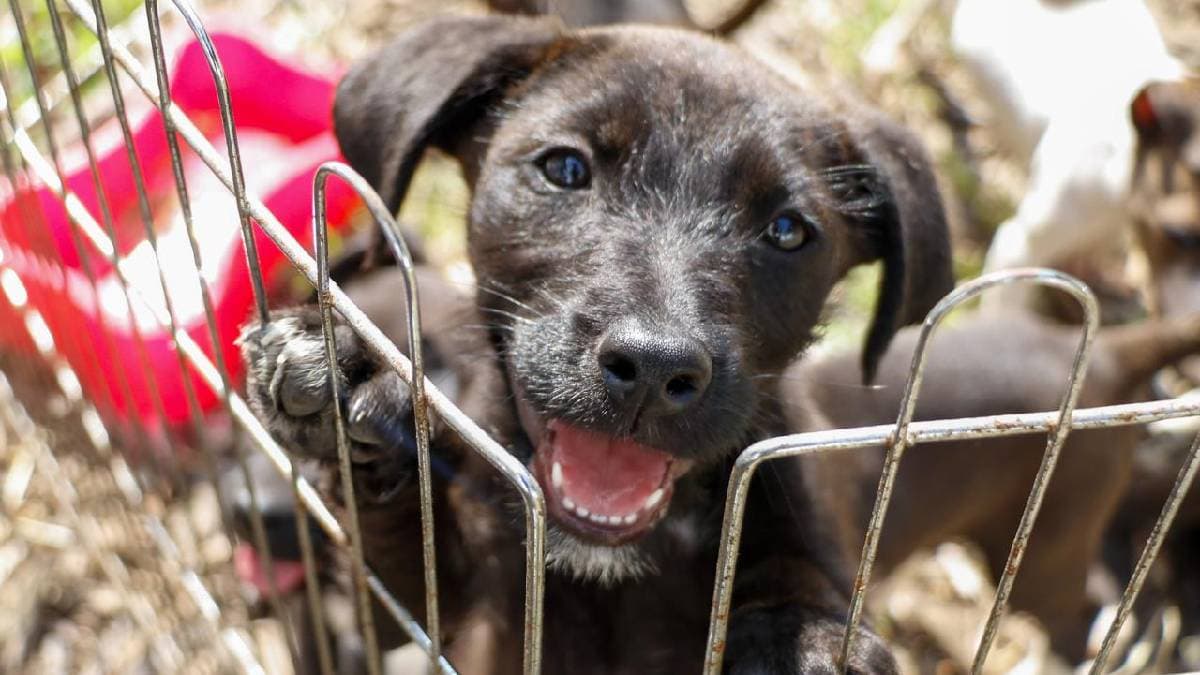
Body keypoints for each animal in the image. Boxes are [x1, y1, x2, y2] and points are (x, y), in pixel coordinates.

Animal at [243, 17, 950, 672]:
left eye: (787, 231)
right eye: (565, 168)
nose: (653, 368)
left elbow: (795, 574)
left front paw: (799, 641)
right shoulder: (427, 623)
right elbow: (406, 548)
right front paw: (357, 384)